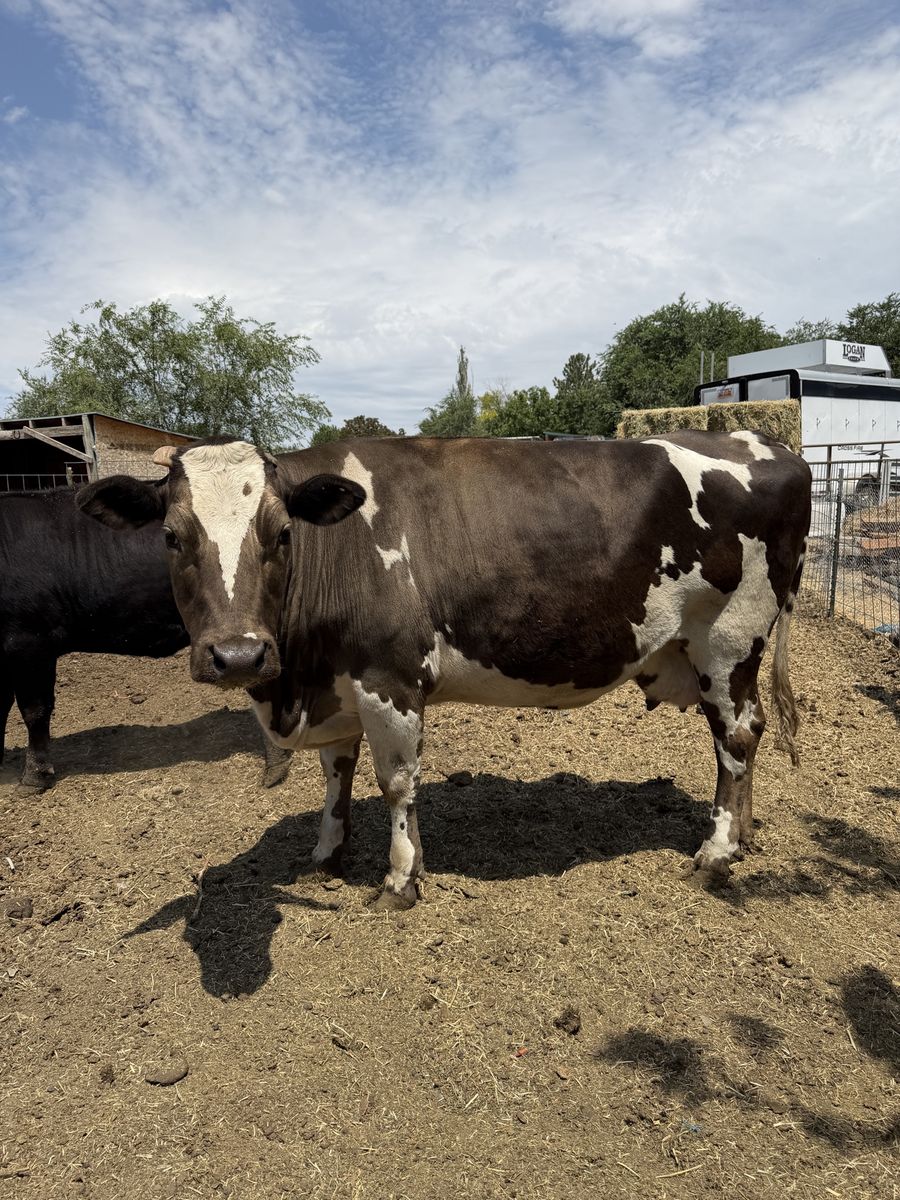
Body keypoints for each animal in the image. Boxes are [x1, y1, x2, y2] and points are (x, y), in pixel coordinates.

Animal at [77, 431, 811, 907]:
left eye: (282, 532)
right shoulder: (337, 685)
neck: (293, 687)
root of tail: (769, 445)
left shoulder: (389, 677)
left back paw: (716, 853)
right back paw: (743, 834)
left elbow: (396, 783)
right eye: (171, 536)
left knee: (736, 738)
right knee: (750, 735)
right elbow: (336, 776)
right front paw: (326, 856)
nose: (237, 655)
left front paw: (400, 880)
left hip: (727, 638)